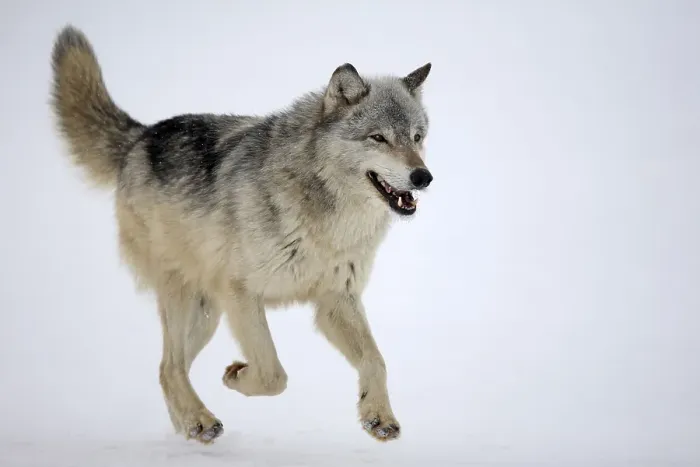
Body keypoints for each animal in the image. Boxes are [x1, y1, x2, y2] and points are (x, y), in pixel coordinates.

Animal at [49, 24, 434, 444]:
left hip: (208, 313)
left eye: (417, 137)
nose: (423, 177)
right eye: (378, 138)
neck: (326, 220)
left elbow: (376, 360)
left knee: (167, 367)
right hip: (188, 296)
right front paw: (237, 376)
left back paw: (187, 424)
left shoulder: (336, 299)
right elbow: (273, 374)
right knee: (171, 366)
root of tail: (141, 136)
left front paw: (378, 416)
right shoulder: (241, 293)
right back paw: (200, 421)